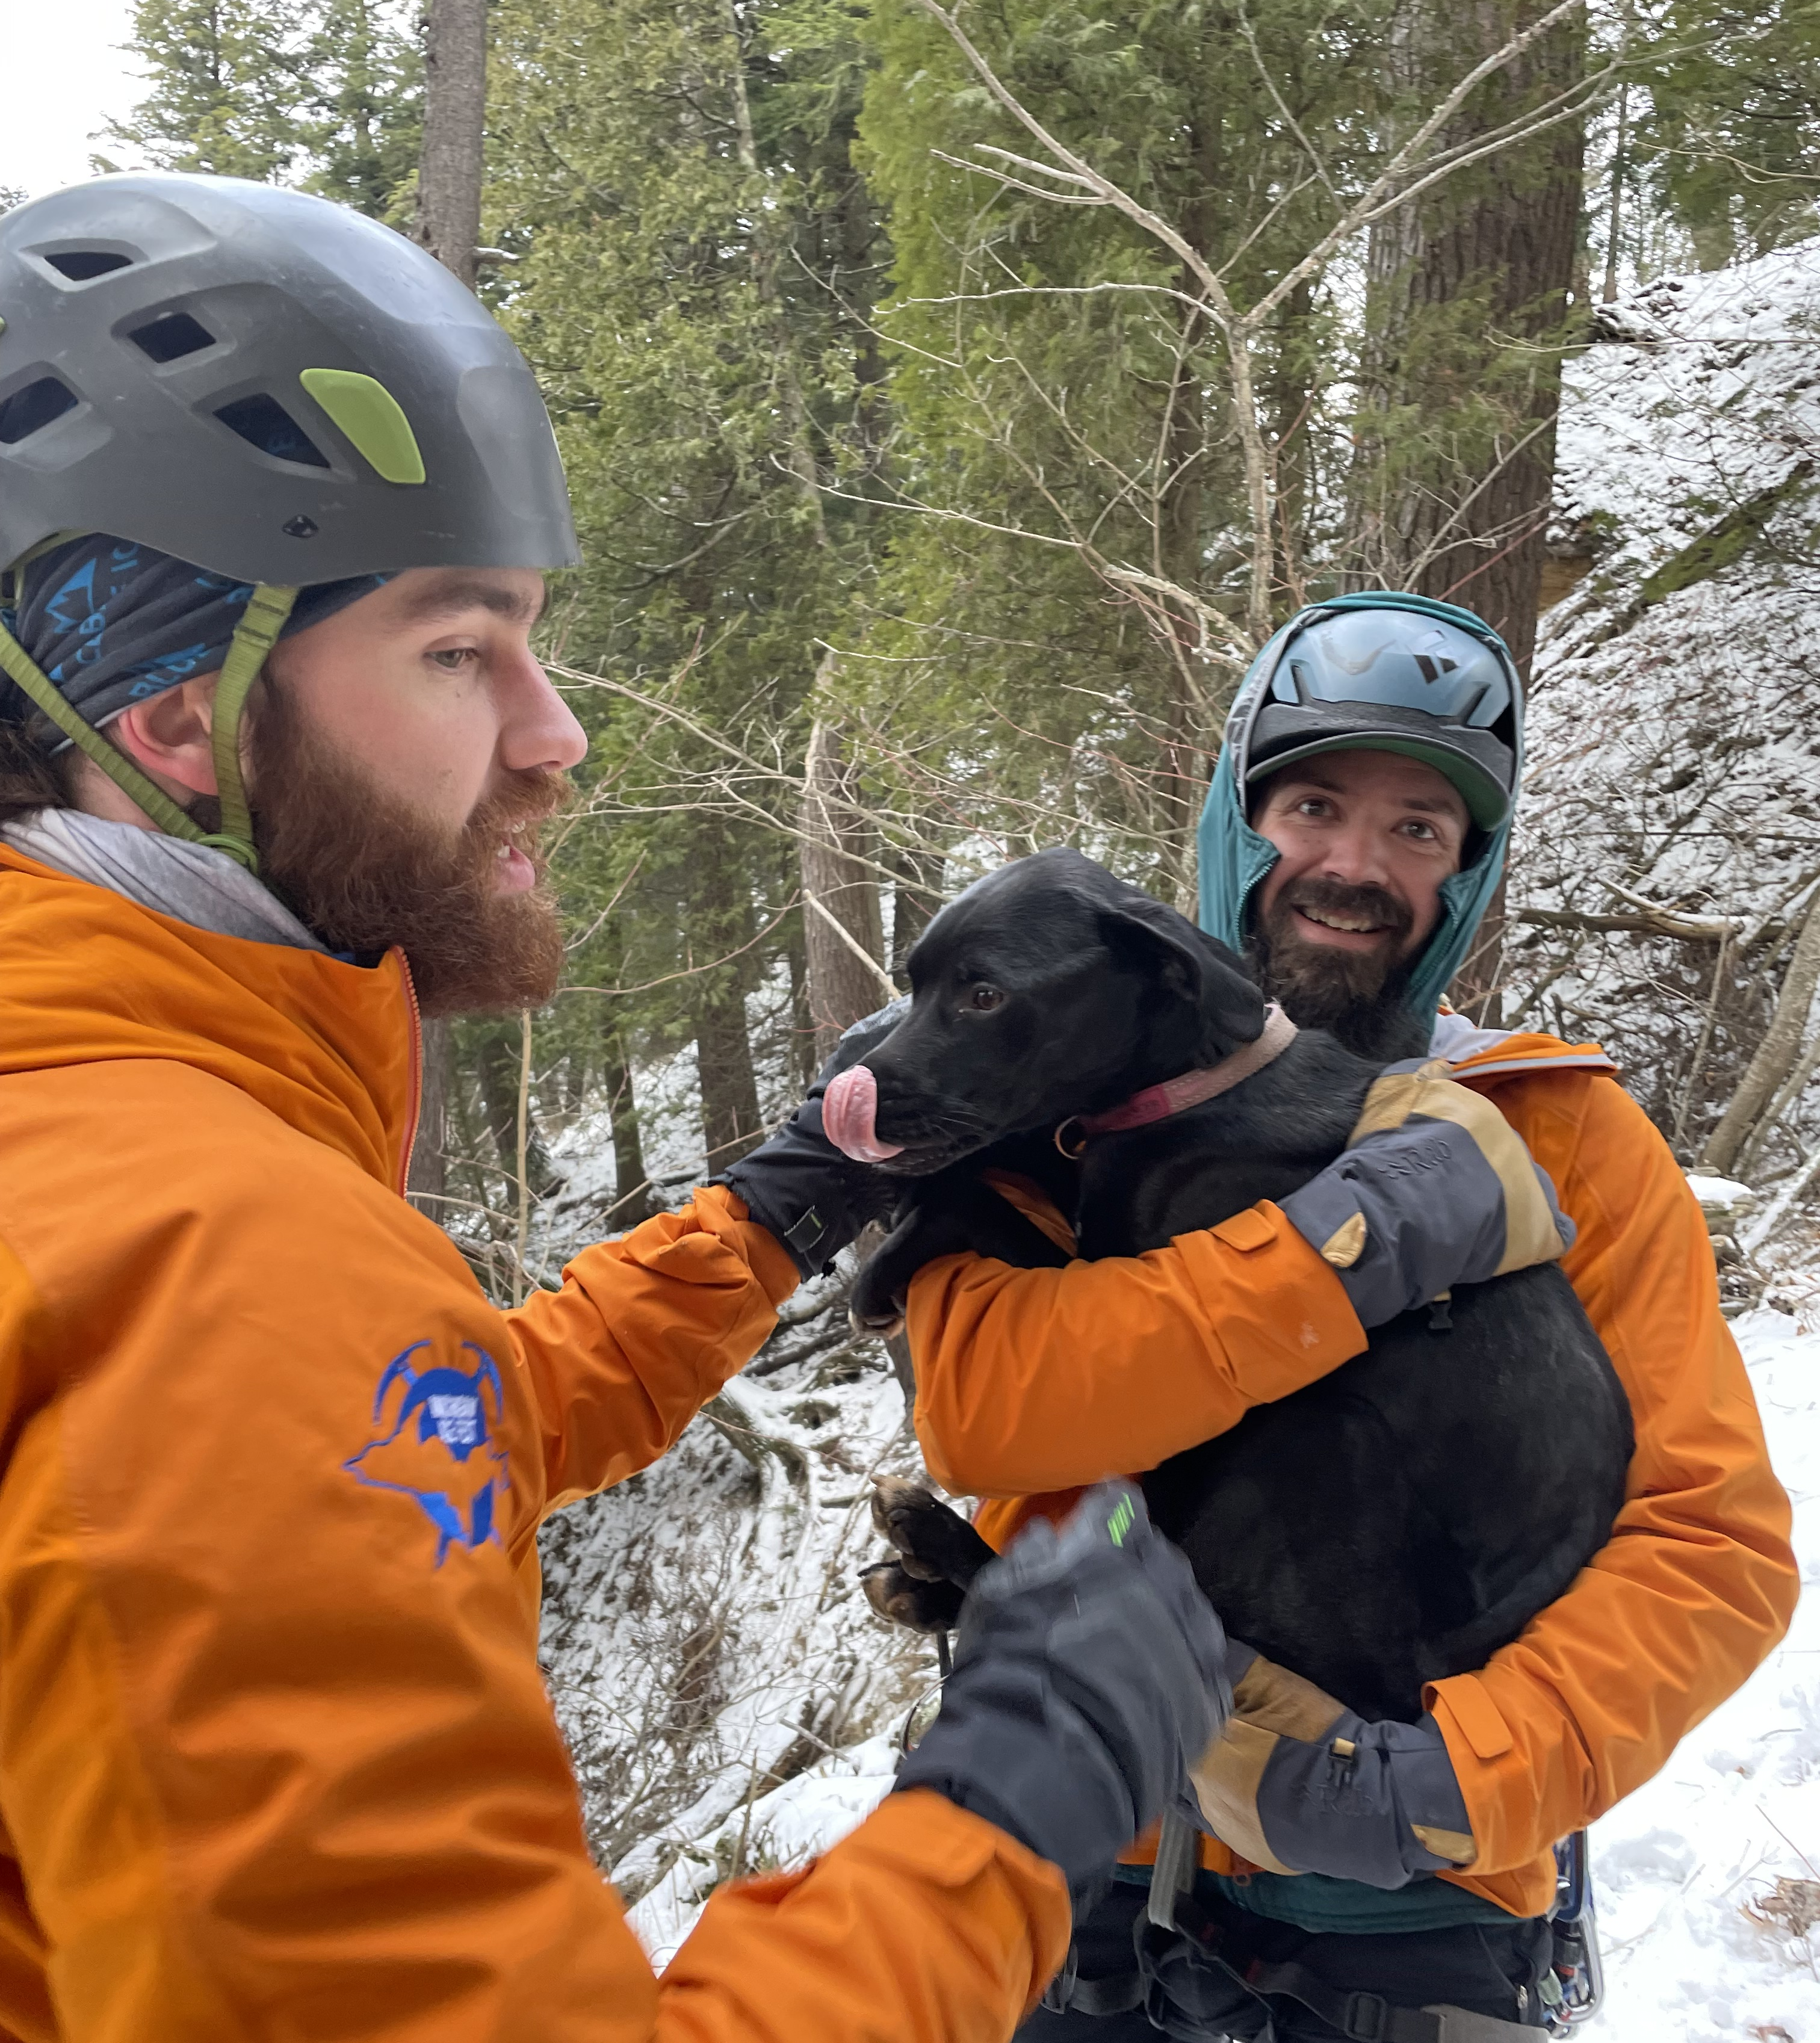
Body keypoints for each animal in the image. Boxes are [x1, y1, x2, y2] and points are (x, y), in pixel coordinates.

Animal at [846, 845, 1626, 1724]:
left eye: (984, 995)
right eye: (915, 985)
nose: (849, 1094)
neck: (1196, 1084)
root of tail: (1430, 1678)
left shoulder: (1103, 1279)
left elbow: (984, 1199)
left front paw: (890, 1259)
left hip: (1308, 1437)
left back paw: (935, 1543)